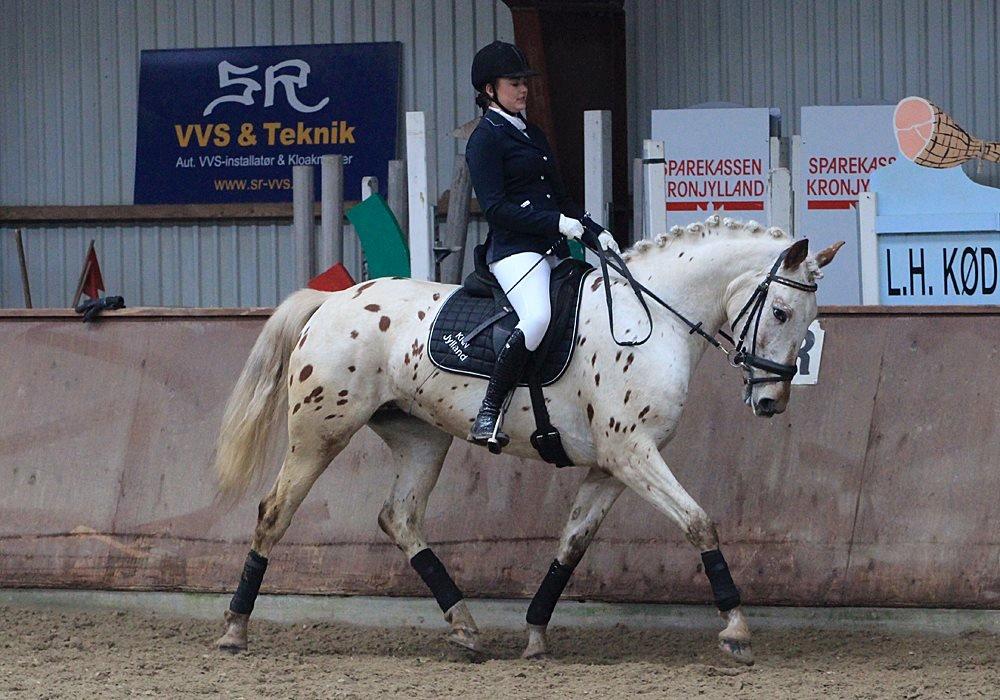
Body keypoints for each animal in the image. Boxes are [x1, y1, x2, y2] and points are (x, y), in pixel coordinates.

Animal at [213, 216, 844, 664]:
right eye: (781, 311)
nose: (771, 402)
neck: (652, 319)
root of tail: (332, 300)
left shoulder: (611, 465)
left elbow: (572, 542)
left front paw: (536, 634)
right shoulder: (632, 452)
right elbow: (699, 523)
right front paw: (736, 630)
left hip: (421, 439)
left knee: (400, 518)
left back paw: (466, 629)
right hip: (320, 433)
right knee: (274, 512)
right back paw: (234, 630)